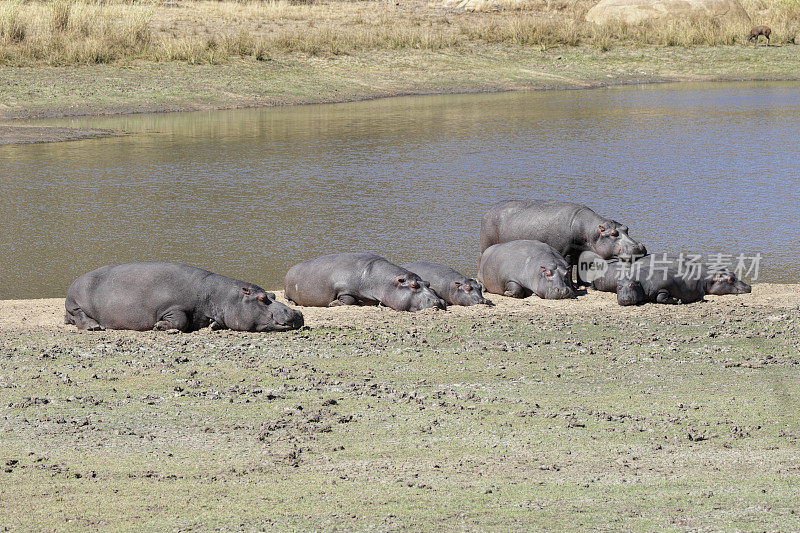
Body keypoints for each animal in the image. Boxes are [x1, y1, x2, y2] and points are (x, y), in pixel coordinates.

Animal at [64, 260, 304, 330]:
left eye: (273, 294)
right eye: (262, 299)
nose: (297, 313)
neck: (221, 296)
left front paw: (213, 325)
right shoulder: (172, 306)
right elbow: (179, 319)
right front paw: (159, 326)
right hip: (75, 301)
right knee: (79, 316)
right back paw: (94, 327)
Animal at [284, 254, 446, 312]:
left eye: (428, 283)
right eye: (413, 285)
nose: (440, 301)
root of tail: (291, 268)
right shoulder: (344, 288)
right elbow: (348, 299)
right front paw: (332, 303)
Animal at [482, 200, 644, 284]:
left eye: (626, 228)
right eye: (613, 233)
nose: (639, 247)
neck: (590, 231)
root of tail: (489, 209)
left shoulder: (584, 255)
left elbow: (582, 269)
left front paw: (584, 285)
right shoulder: (566, 254)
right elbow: (569, 268)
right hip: (486, 244)